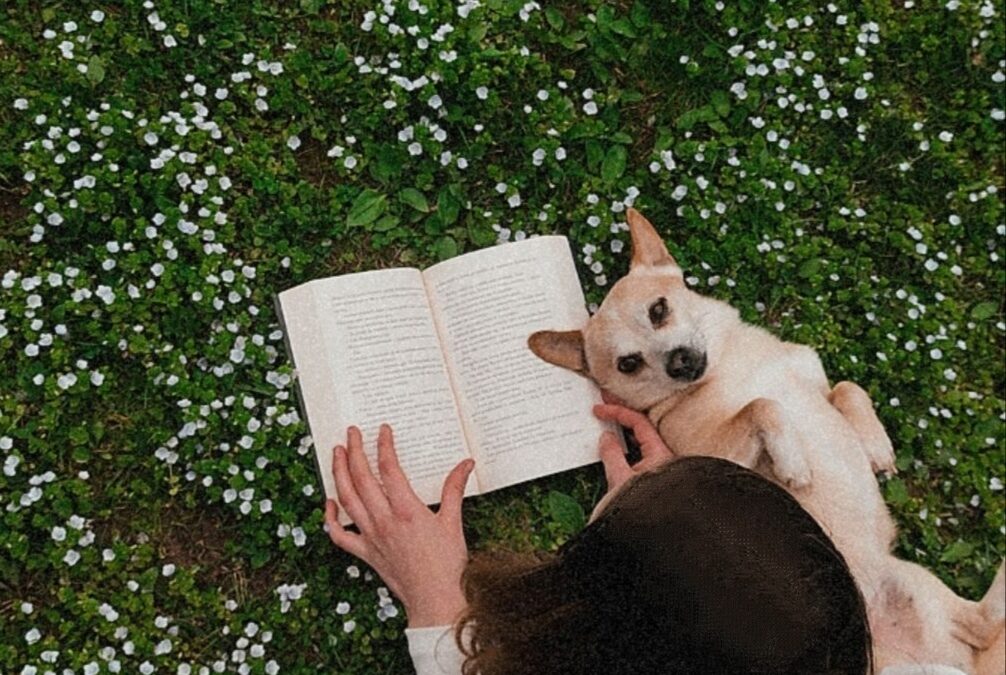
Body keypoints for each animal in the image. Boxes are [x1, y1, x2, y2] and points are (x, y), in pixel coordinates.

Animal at [531, 208, 1001, 671]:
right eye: (628, 364)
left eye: (659, 310)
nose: (679, 362)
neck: (730, 362)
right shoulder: (717, 454)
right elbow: (763, 405)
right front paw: (794, 463)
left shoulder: (816, 380)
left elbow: (847, 388)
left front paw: (876, 445)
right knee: (985, 625)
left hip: (914, 583)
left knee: (983, 624)